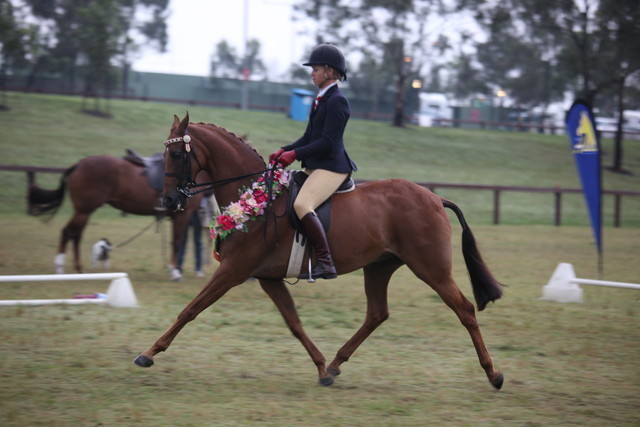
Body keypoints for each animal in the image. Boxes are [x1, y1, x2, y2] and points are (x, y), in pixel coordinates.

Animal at [28, 154, 203, 278]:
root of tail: (78, 165)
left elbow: (177, 241)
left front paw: (174, 269)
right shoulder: (183, 215)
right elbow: (177, 242)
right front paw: (175, 272)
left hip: (83, 212)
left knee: (75, 234)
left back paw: (77, 267)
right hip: (83, 211)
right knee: (69, 232)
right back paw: (61, 266)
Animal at [134, 113, 505, 389]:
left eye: (177, 154)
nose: (169, 201)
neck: (255, 198)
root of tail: (434, 197)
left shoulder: (232, 271)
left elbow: (190, 309)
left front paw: (149, 353)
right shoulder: (268, 278)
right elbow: (294, 323)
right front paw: (322, 368)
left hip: (430, 267)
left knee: (464, 309)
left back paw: (493, 374)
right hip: (380, 266)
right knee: (377, 314)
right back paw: (338, 364)